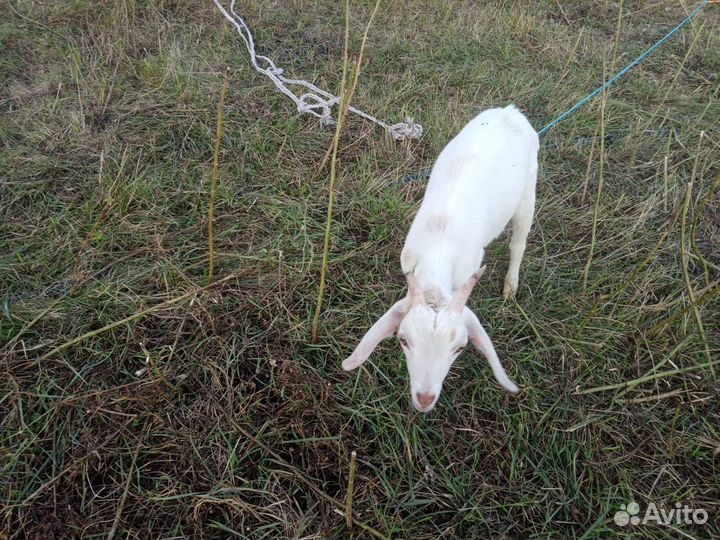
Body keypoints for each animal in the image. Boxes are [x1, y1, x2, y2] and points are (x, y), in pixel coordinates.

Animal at [342, 104, 539, 412]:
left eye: (459, 348)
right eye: (403, 340)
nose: (424, 399)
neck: (440, 242)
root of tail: (511, 111)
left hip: (528, 187)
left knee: (519, 241)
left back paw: (511, 285)